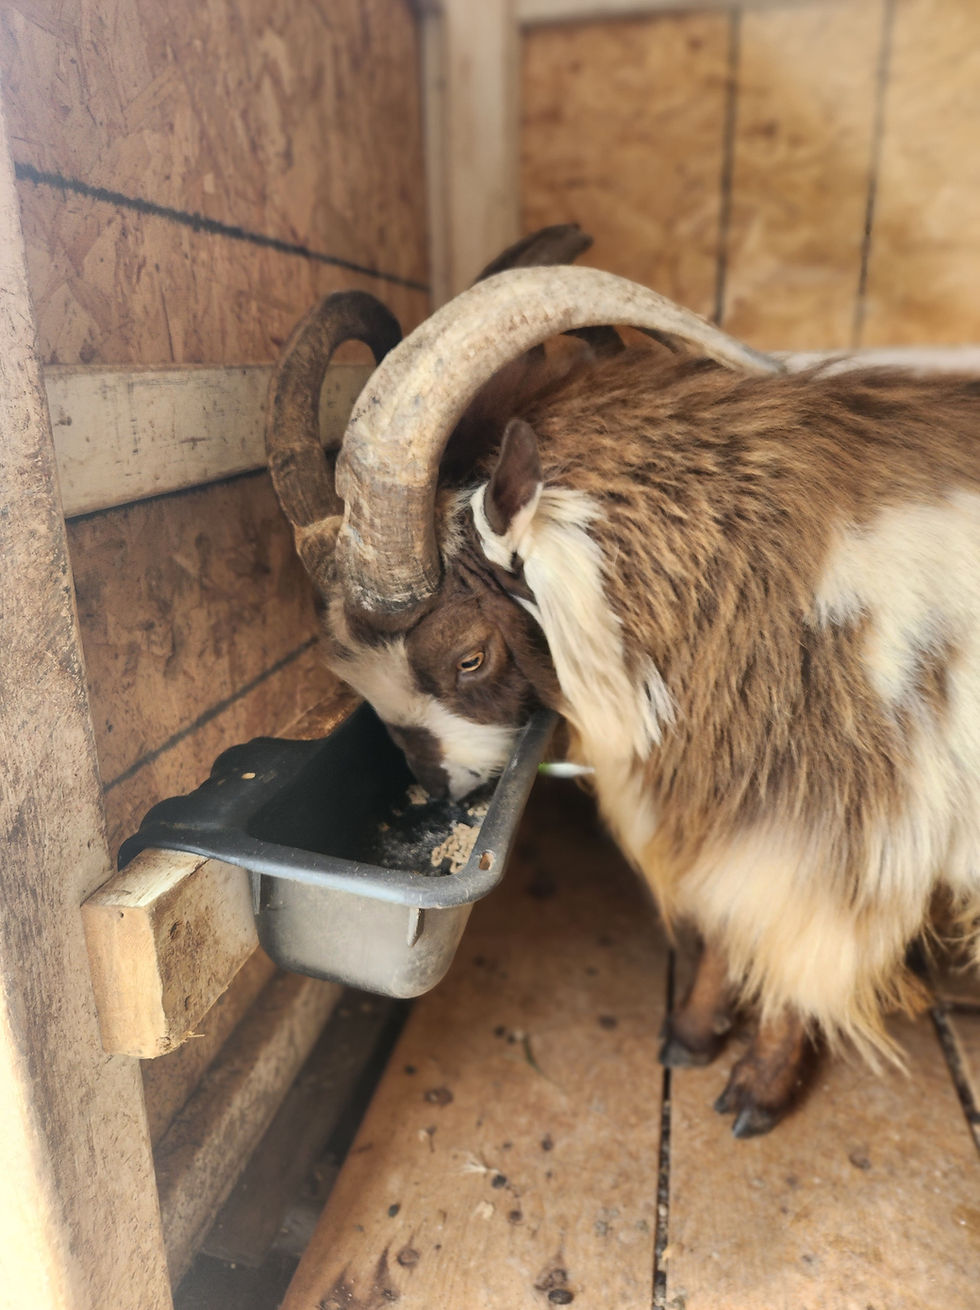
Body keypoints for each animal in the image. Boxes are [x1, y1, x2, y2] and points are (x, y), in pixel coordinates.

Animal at [266, 238, 980, 1137]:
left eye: (468, 658)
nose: (440, 787)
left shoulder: (849, 828)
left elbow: (799, 949)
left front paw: (758, 1086)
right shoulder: (718, 795)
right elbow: (721, 919)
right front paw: (691, 1034)